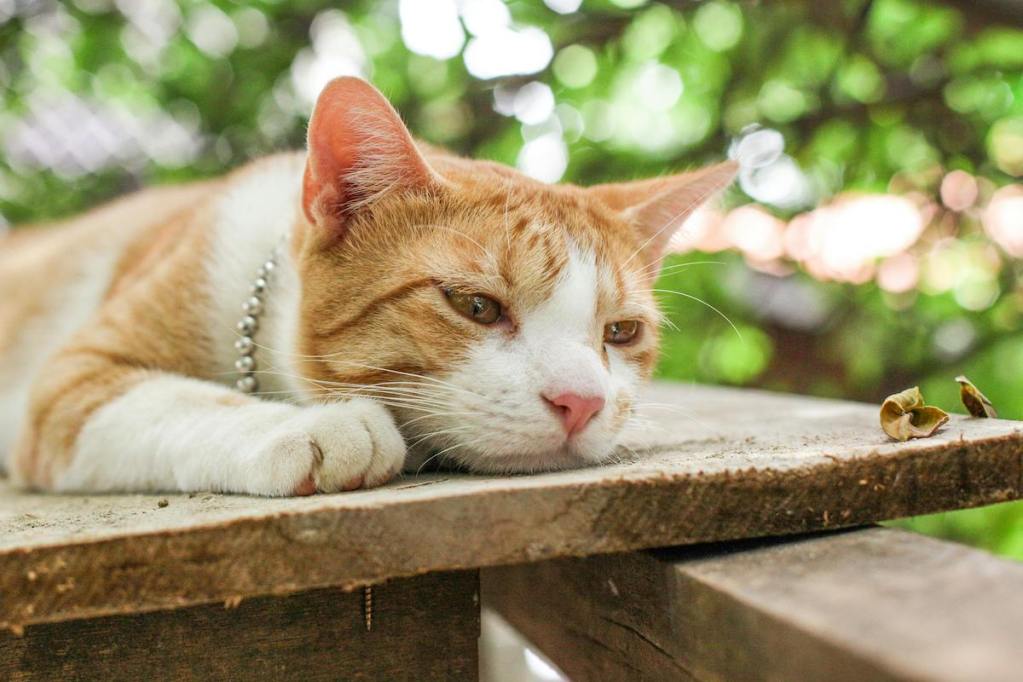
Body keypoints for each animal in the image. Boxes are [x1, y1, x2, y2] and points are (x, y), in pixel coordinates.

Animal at [0, 78, 736, 496]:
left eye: (621, 332)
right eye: (475, 305)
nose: (582, 403)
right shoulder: (69, 382)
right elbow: (179, 401)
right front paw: (315, 424)